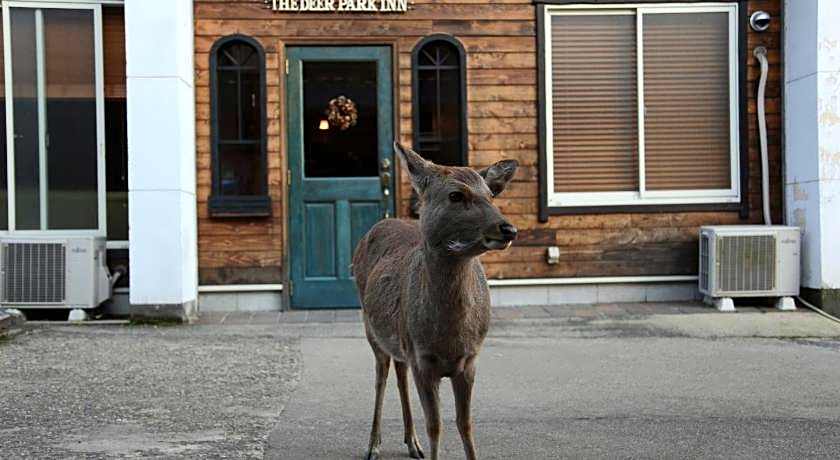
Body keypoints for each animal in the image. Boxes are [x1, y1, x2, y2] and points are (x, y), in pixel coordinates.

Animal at [352, 143, 518, 460]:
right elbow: (436, 426)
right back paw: (373, 445)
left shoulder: (470, 359)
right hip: (371, 328)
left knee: (399, 373)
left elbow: (465, 424)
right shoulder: (423, 359)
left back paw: (412, 443)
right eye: (456, 195)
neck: (448, 337)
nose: (508, 229)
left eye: (491, 195)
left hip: (399, 339)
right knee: (381, 376)